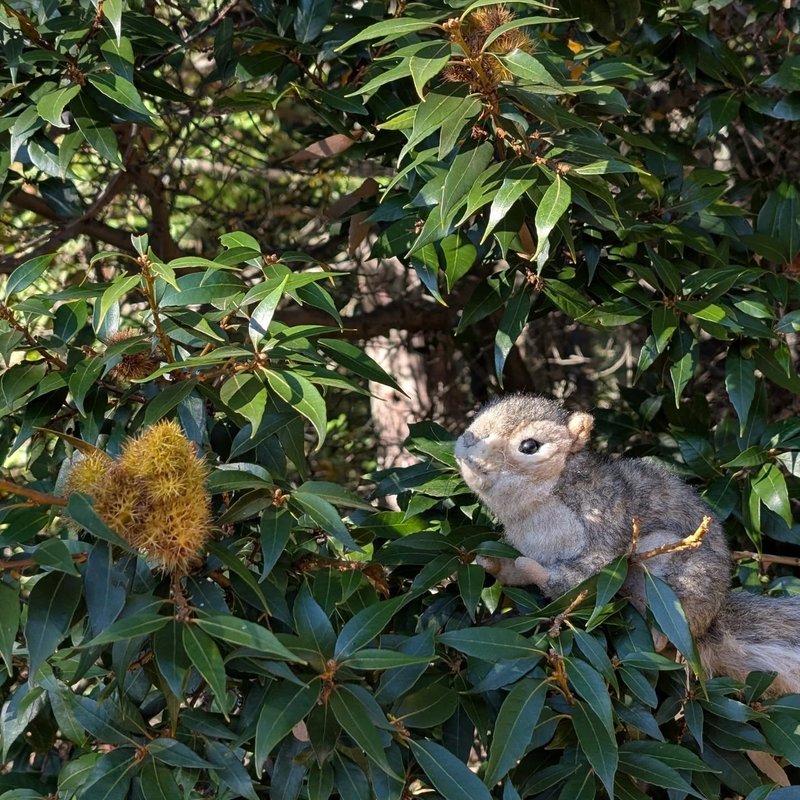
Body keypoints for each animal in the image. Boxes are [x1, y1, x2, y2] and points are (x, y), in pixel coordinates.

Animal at [454, 393, 800, 695]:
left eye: (529, 445)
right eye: (477, 416)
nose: (466, 442)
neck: (534, 509)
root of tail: (709, 621)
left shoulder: (603, 519)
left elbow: (586, 570)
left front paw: (531, 570)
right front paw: (495, 564)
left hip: (678, 575)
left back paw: (658, 637)